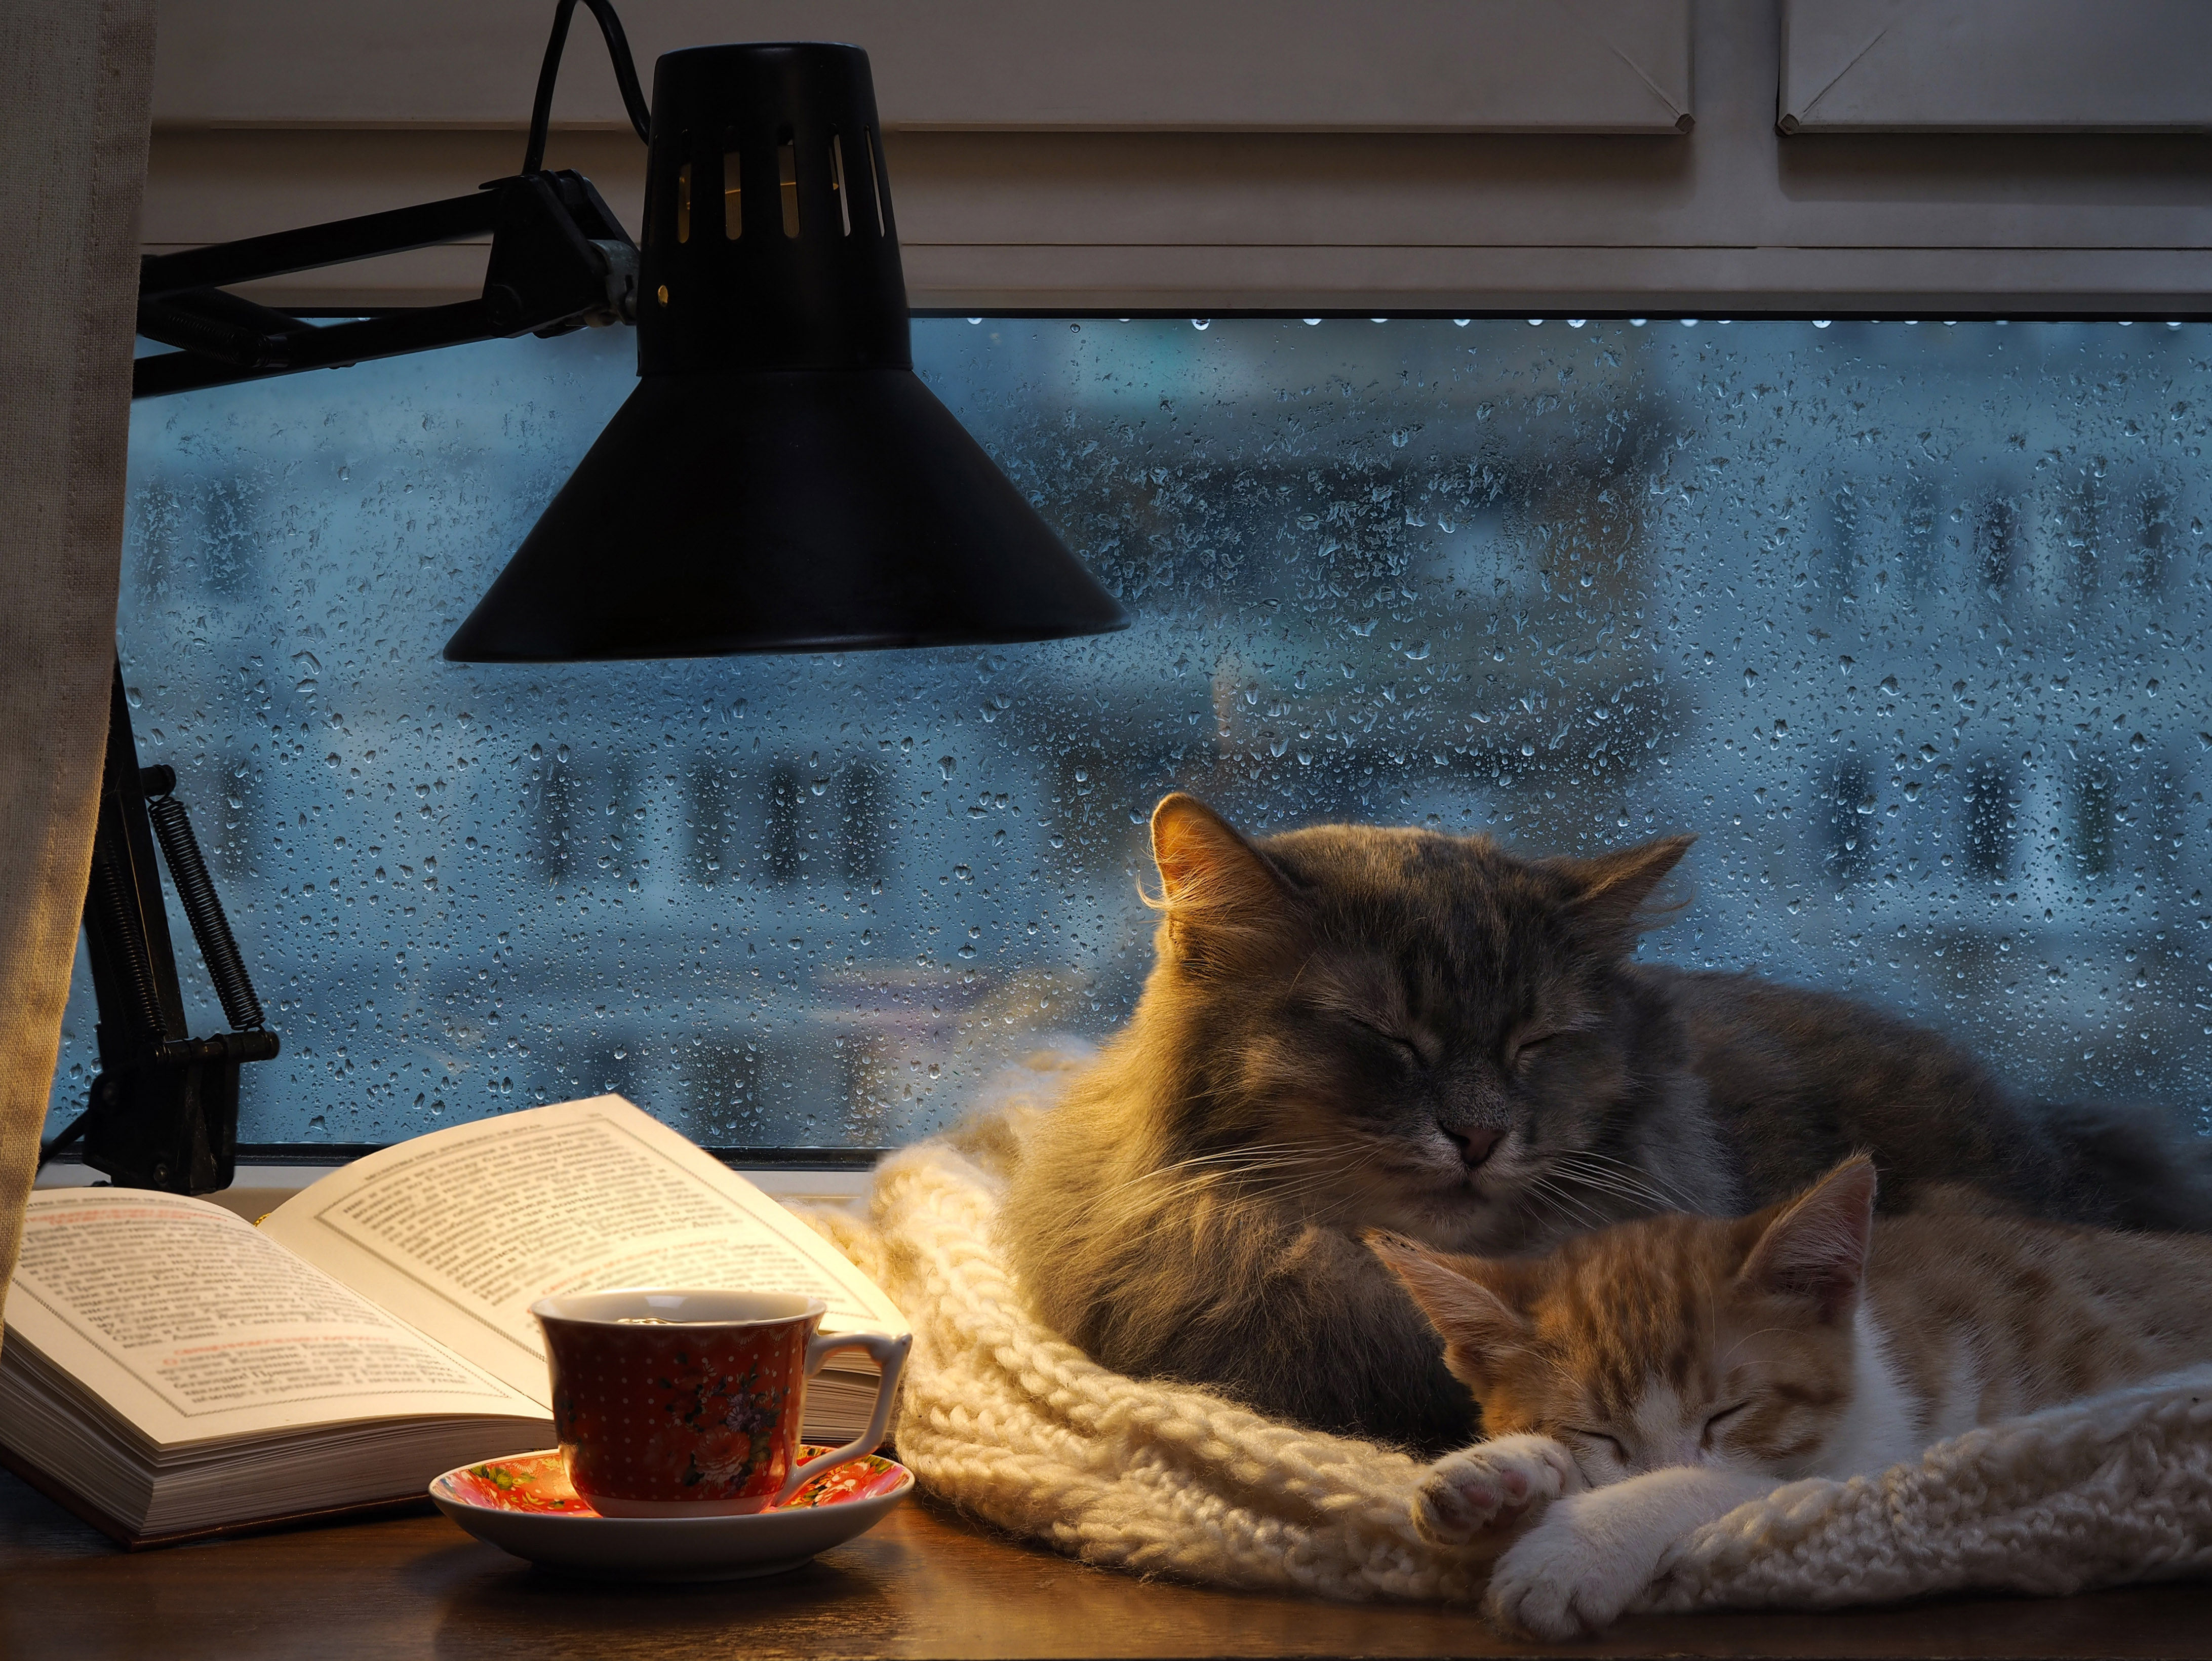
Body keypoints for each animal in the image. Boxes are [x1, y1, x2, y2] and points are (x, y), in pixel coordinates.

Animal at [1371, 1159, 2212, 1645]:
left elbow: (1729, 1483)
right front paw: (1500, 1475)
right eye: (1596, 1432)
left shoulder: (1882, 1460)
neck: (1870, 1362)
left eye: (1727, 1415)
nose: (1499, 1477)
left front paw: (1578, 1546)